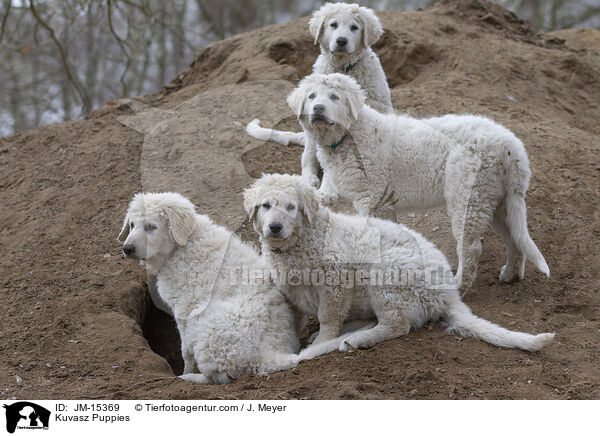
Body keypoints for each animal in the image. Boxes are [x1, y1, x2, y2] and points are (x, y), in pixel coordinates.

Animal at [243, 172, 552, 352]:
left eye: (291, 208)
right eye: (266, 206)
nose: (274, 227)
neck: (299, 242)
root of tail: (448, 295)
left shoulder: (337, 281)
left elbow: (328, 315)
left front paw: (320, 343)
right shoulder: (288, 285)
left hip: (387, 274)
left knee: (397, 323)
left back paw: (356, 340)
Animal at [246, 2, 392, 189]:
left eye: (354, 27)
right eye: (333, 25)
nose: (341, 41)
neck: (343, 67)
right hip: (310, 137)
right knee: (308, 160)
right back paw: (310, 179)